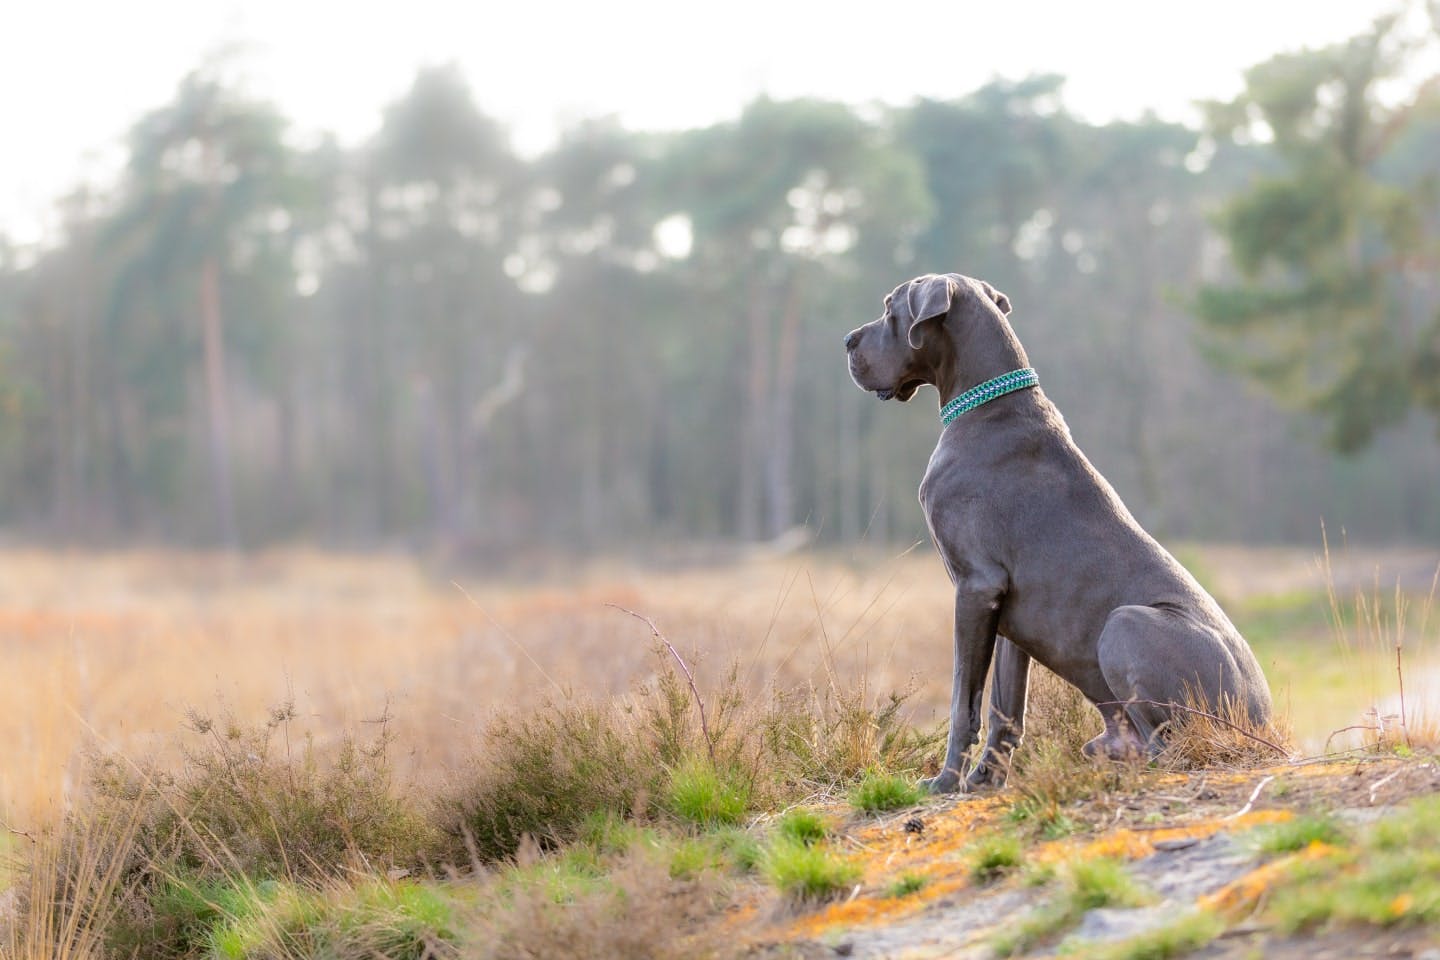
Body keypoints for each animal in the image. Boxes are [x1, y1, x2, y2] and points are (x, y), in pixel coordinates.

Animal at [840, 272, 1272, 794]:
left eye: (890, 309)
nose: (847, 340)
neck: (986, 408)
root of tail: (1261, 728)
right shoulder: (1007, 611)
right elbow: (1005, 708)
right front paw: (984, 780)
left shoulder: (975, 586)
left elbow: (964, 701)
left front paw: (945, 781)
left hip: (1127, 623)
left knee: (1168, 747)